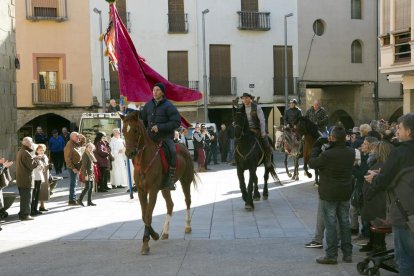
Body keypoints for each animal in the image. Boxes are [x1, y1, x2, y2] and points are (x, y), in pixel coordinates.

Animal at [119, 110, 199, 254]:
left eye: (135, 130)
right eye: (123, 130)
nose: (129, 153)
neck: (144, 161)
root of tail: (183, 146)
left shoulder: (153, 190)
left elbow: (148, 215)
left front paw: (146, 242)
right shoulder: (141, 191)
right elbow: (144, 215)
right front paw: (154, 235)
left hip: (185, 181)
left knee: (188, 201)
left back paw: (187, 226)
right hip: (165, 188)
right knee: (170, 205)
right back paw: (165, 232)